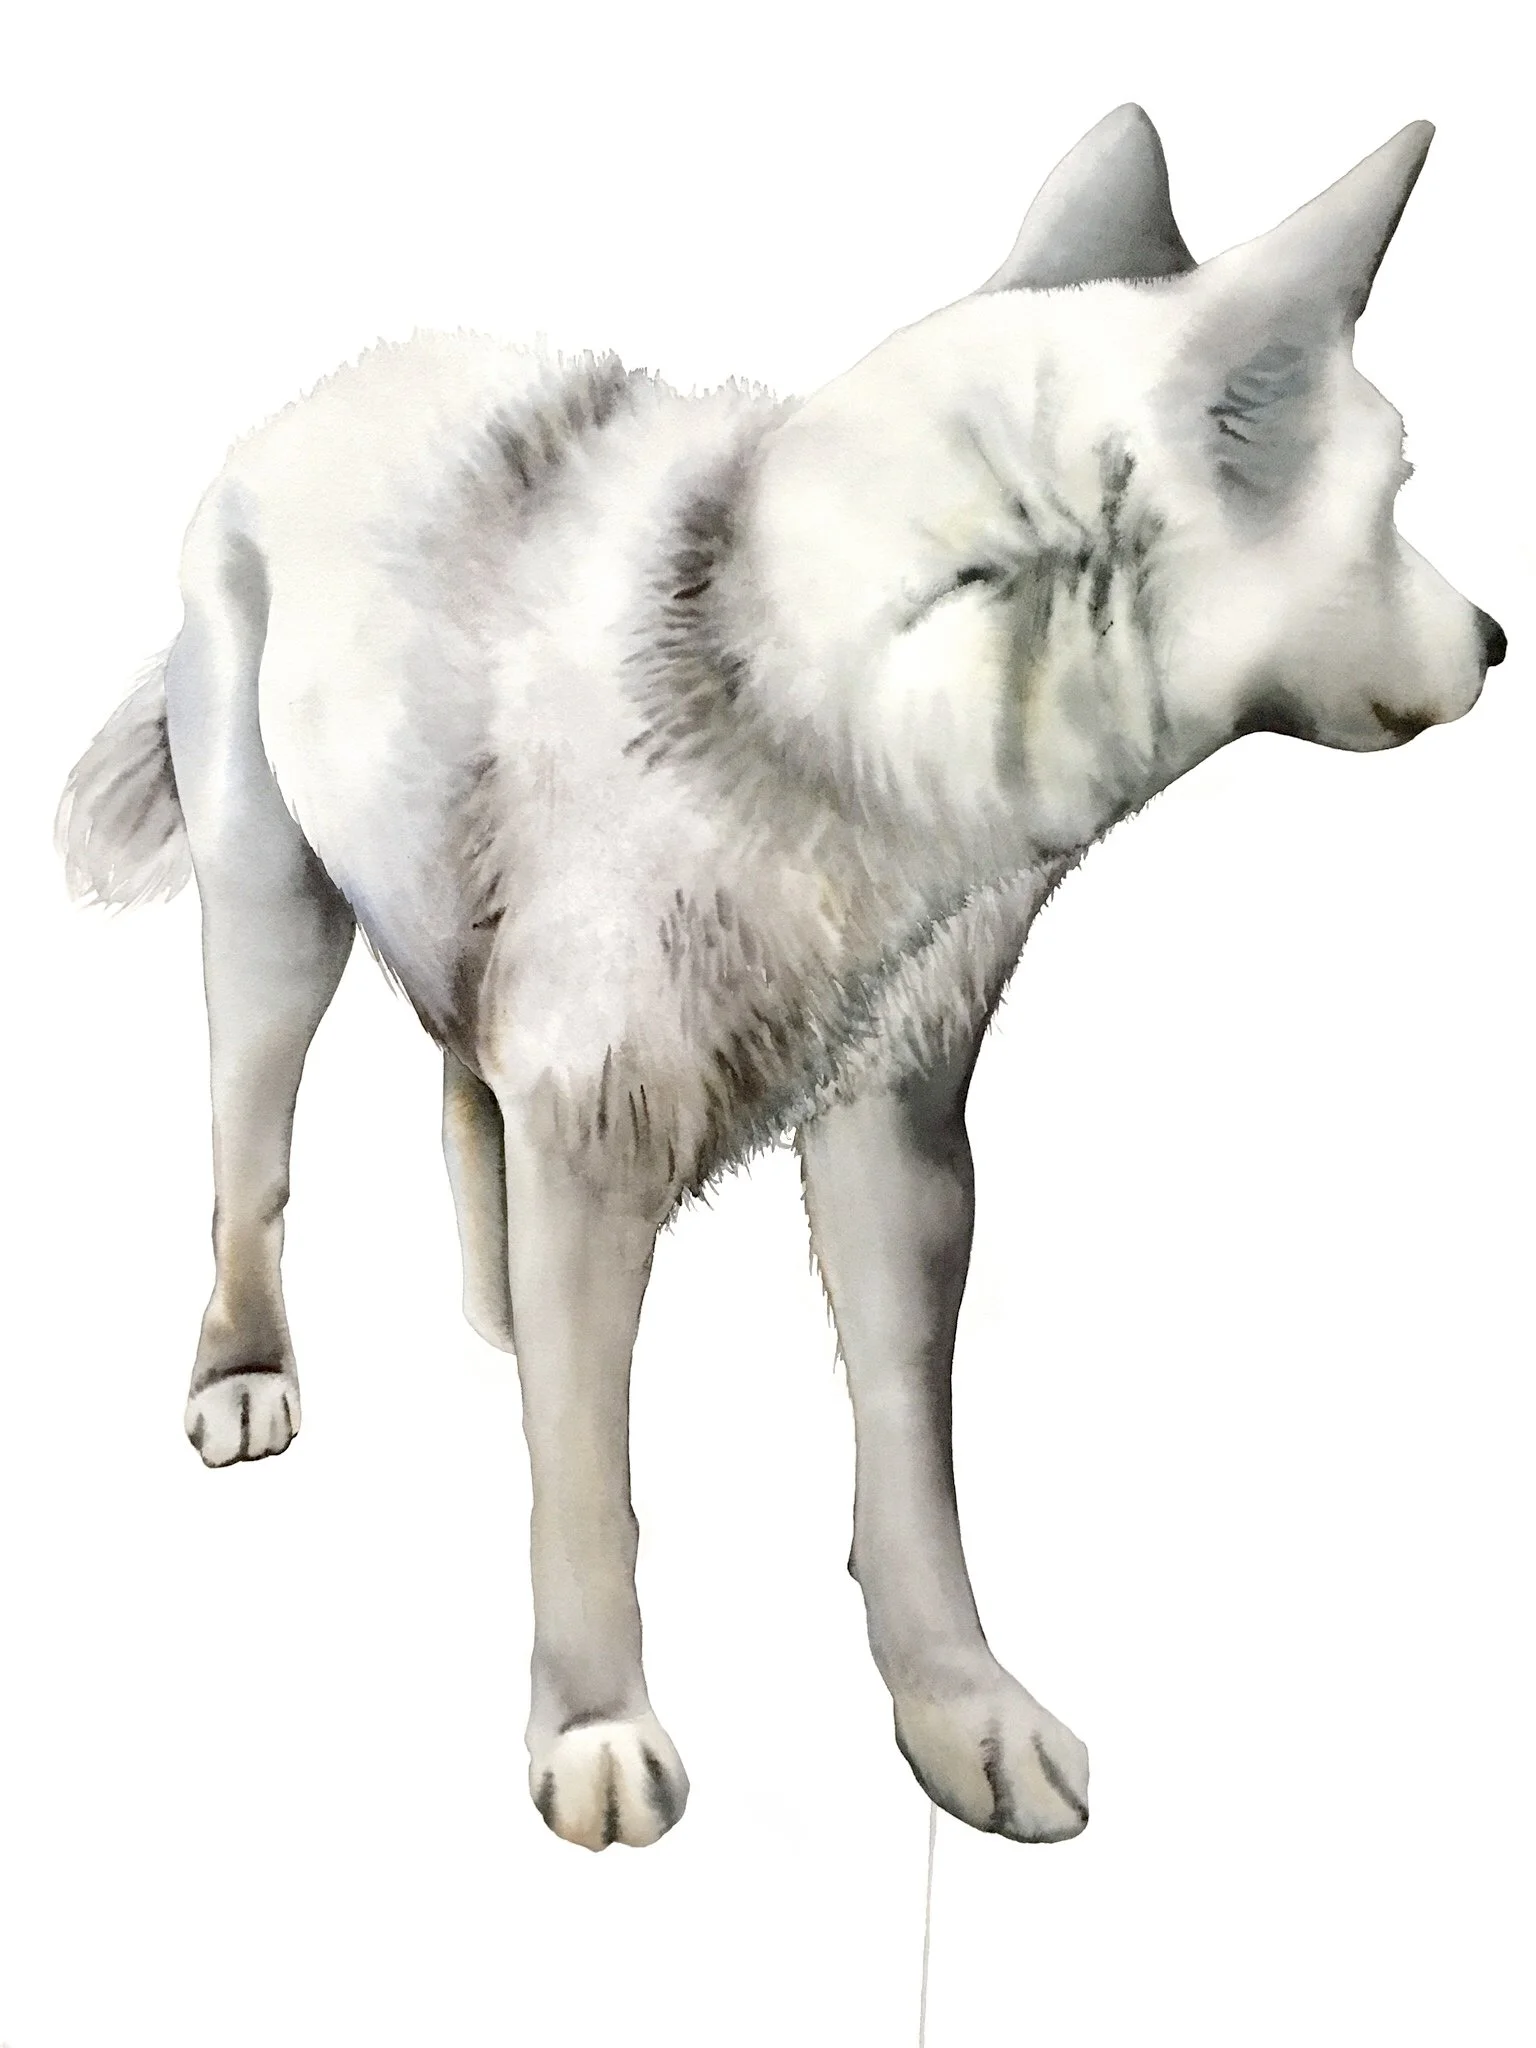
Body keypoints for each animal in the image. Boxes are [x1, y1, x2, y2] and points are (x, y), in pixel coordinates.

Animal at [58, 106, 1505, 1852]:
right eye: (1399, 493)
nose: (1498, 641)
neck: (801, 714)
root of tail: (310, 399)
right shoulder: (600, 1123)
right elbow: (587, 1493)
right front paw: (594, 1728)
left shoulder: (896, 1141)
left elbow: (907, 1459)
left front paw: (962, 1713)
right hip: (271, 930)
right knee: (252, 1169)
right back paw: (247, 1373)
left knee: (465, 1094)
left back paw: (497, 1309)